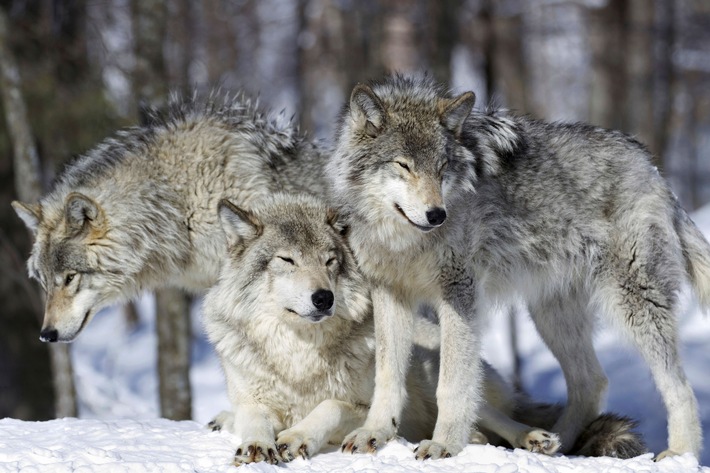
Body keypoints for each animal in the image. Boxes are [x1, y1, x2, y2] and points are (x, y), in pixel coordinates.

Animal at [203, 193, 648, 464]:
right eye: (287, 260)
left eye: (330, 261)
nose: (323, 298)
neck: (299, 355)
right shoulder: (252, 399)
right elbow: (253, 419)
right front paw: (257, 443)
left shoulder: (365, 407)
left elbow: (328, 405)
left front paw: (295, 437)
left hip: (440, 376)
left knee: (494, 421)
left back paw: (530, 438)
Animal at [326, 75, 708, 460]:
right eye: (403, 165)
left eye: (443, 168)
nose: (437, 215)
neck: (405, 241)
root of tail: (650, 164)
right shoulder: (390, 293)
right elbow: (388, 376)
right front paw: (374, 432)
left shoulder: (460, 293)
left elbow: (452, 383)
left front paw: (444, 443)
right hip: (550, 316)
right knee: (593, 382)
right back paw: (555, 445)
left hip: (634, 306)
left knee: (680, 386)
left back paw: (680, 453)